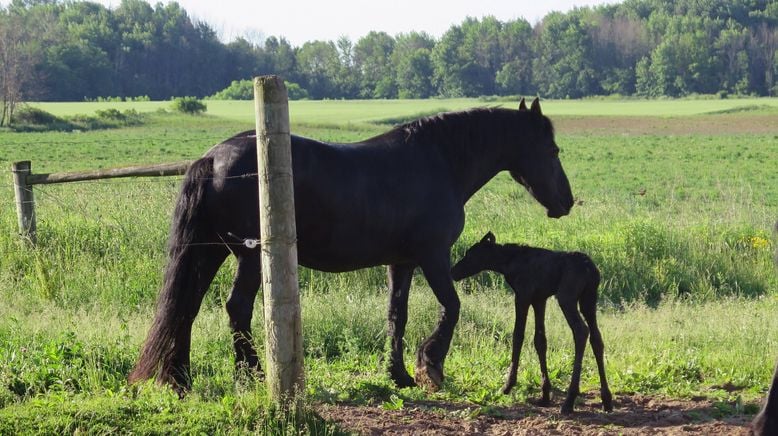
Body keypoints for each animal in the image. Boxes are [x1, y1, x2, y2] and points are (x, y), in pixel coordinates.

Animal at [130, 97, 572, 390]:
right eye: (552, 149)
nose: (566, 202)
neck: (438, 162)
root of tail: (213, 158)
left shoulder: (402, 263)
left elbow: (397, 315)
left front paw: (400, 375)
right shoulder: (434, 257)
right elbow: (452, 307)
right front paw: (431, 365)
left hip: (211, 252)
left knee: (186, 307)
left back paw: (180, 378)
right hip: (250, 258)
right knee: (236, 308)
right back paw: (251, 375)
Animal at [452, 230, 608, 414]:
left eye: (470, 254)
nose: (453, 271)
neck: (506, 264)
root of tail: (591, 270)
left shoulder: (523, 294)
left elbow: (518, 335)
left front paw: (507, 385)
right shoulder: (539, 299)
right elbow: (540, 340)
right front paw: (545, 394)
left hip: (567, 297)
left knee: (581, 330)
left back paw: (570, 400)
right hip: (589, 299)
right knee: (596, 337)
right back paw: (607, 398)